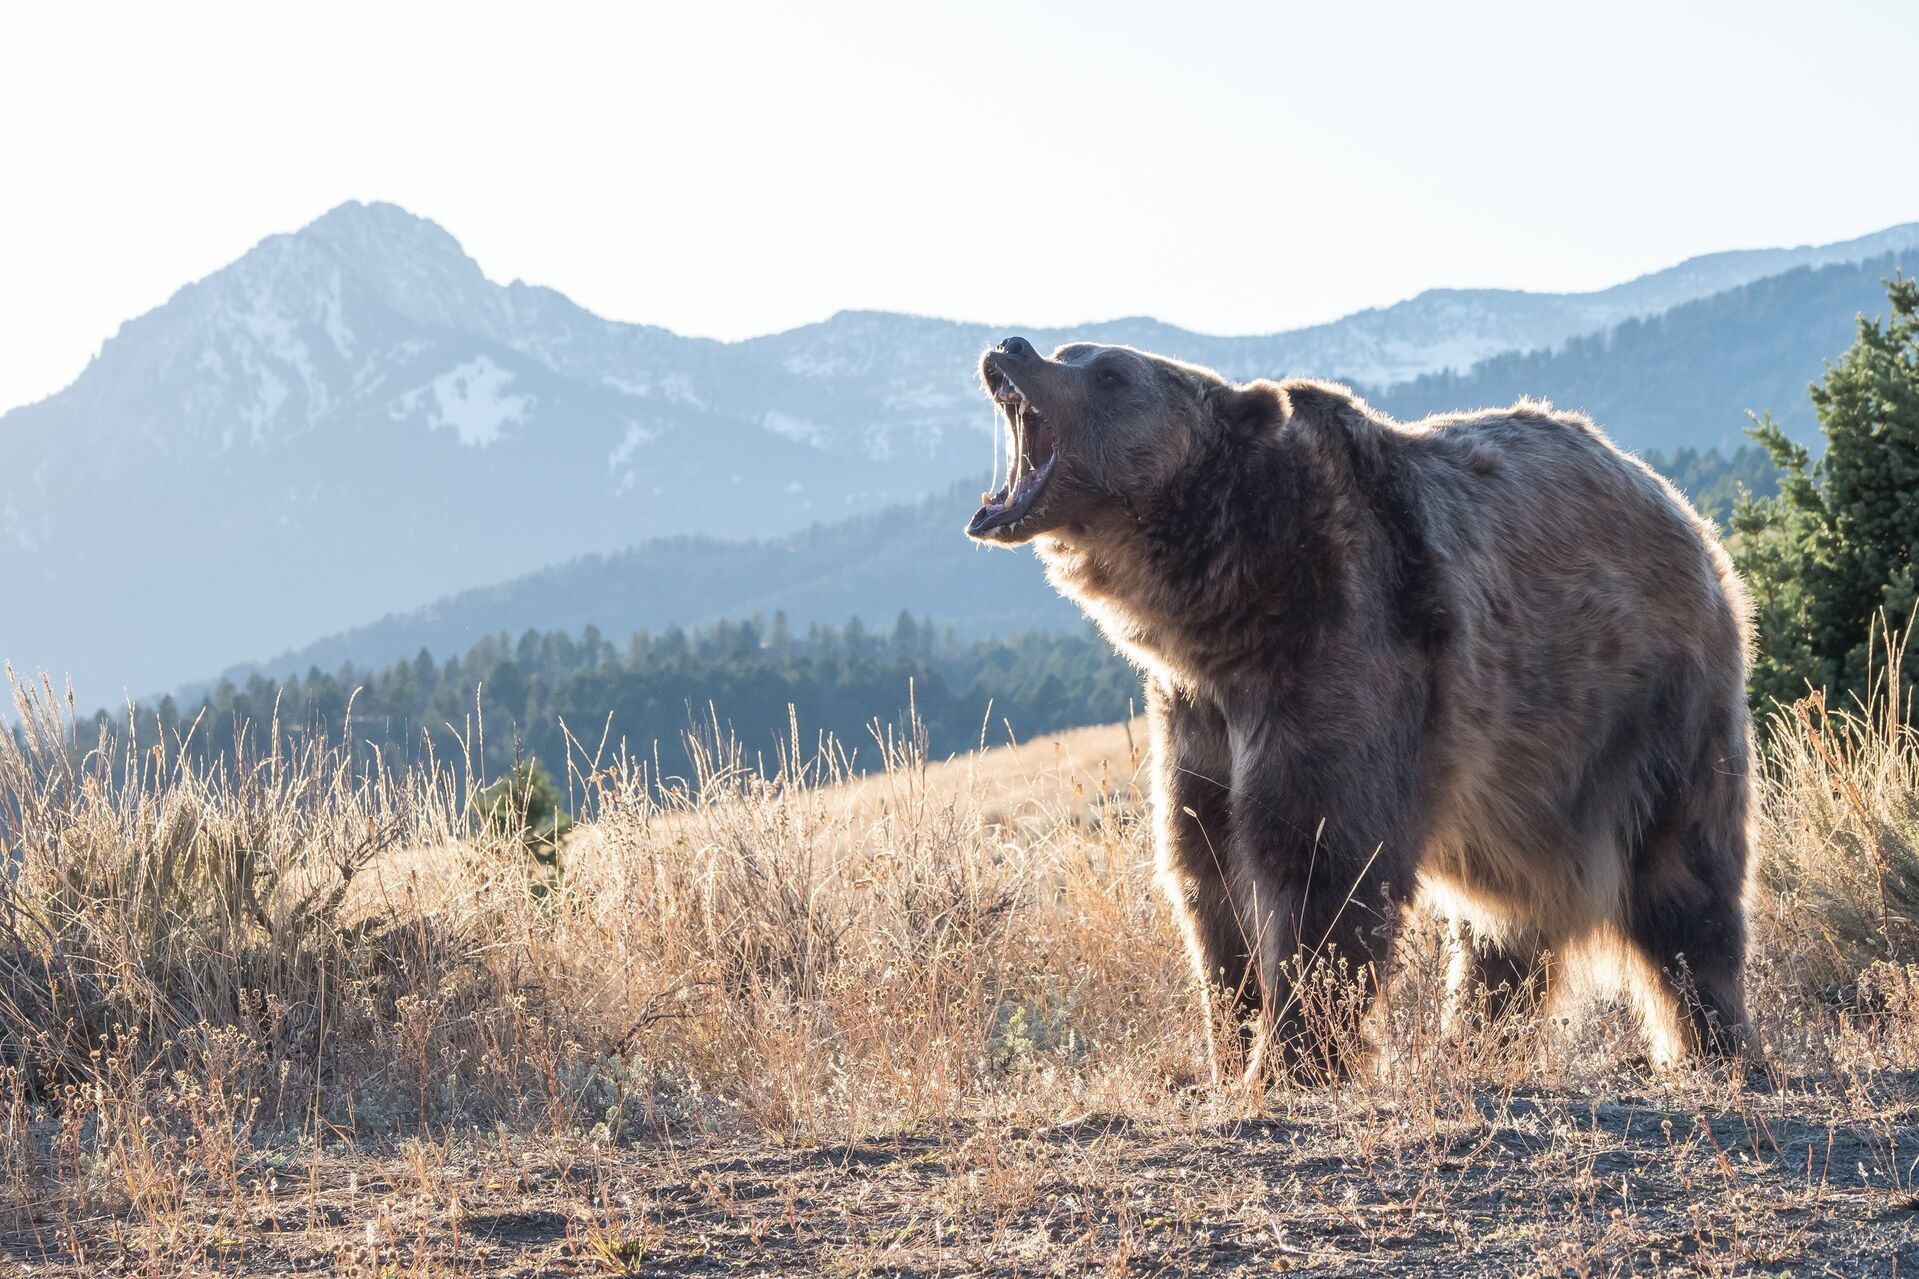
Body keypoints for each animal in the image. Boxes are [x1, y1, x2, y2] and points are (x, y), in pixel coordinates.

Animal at [967, 336, 1757, 1075]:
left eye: (1109, 371)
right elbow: (1207, 871)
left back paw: (1718, 1044)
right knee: (1504, 915)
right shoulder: (1196, 715)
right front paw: (1231, 1043)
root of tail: (1678, 507)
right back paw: (1474, 1036)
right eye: (1069, 349)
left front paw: (1290, 1059)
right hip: (1524, 773)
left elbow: (1320, 862)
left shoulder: (1341, 650)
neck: (1228, 609)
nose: (1011, 346)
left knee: (1684, 882)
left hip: (1648, 706)